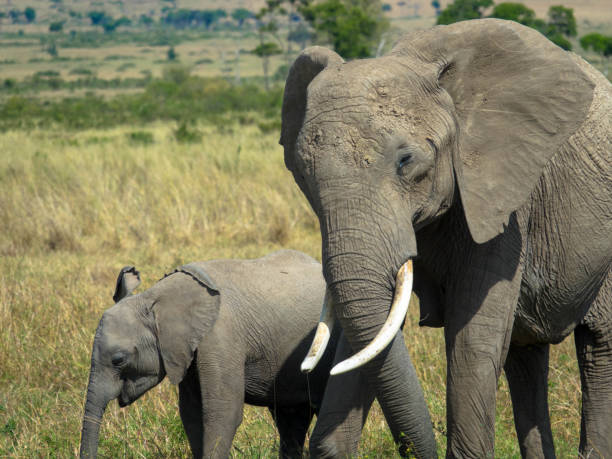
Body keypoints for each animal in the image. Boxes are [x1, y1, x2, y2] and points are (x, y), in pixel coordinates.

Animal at [80, 252, 350, 459]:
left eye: (119, 360)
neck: (157, 296)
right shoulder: (187, 352)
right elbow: (191, 415)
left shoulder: (220, 337)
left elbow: (222, 413)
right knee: (291, 419)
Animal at [284, 18, 612, 459]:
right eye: (303, 172)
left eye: (405, 161)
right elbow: (374, 331)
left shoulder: (503, 199)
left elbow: (472, 333)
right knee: (525, 355)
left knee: (598, 345)